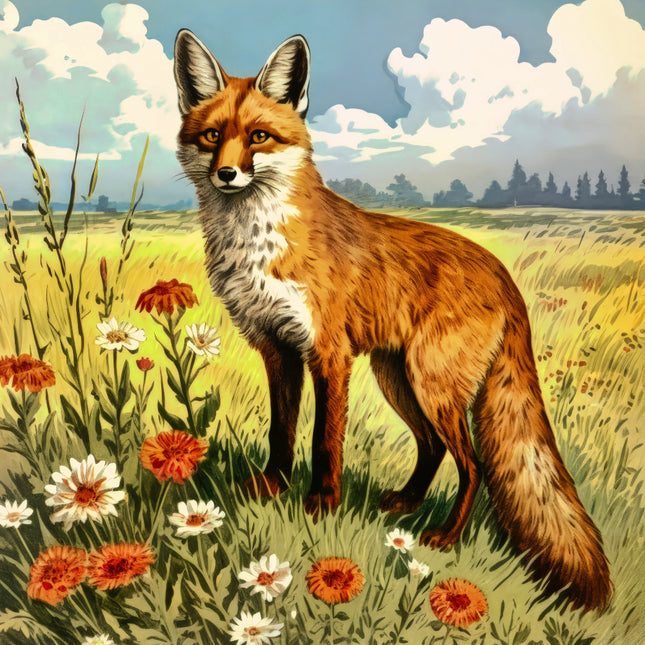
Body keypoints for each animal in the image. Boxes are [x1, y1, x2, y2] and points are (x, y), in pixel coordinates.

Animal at [173, 29, 612, 612]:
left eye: (259, 137)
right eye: (212, 136)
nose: (226, 174)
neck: (256, 247)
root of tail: (503, 272)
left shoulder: (328, 354)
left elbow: (324, 442)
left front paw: (321, 507)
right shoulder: (277, 348)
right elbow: (281, 431)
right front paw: (270, 490)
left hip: (430, 383)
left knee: (473, 465)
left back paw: (446, 536)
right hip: (398, 379)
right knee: (432, 448)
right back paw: (405, 502)